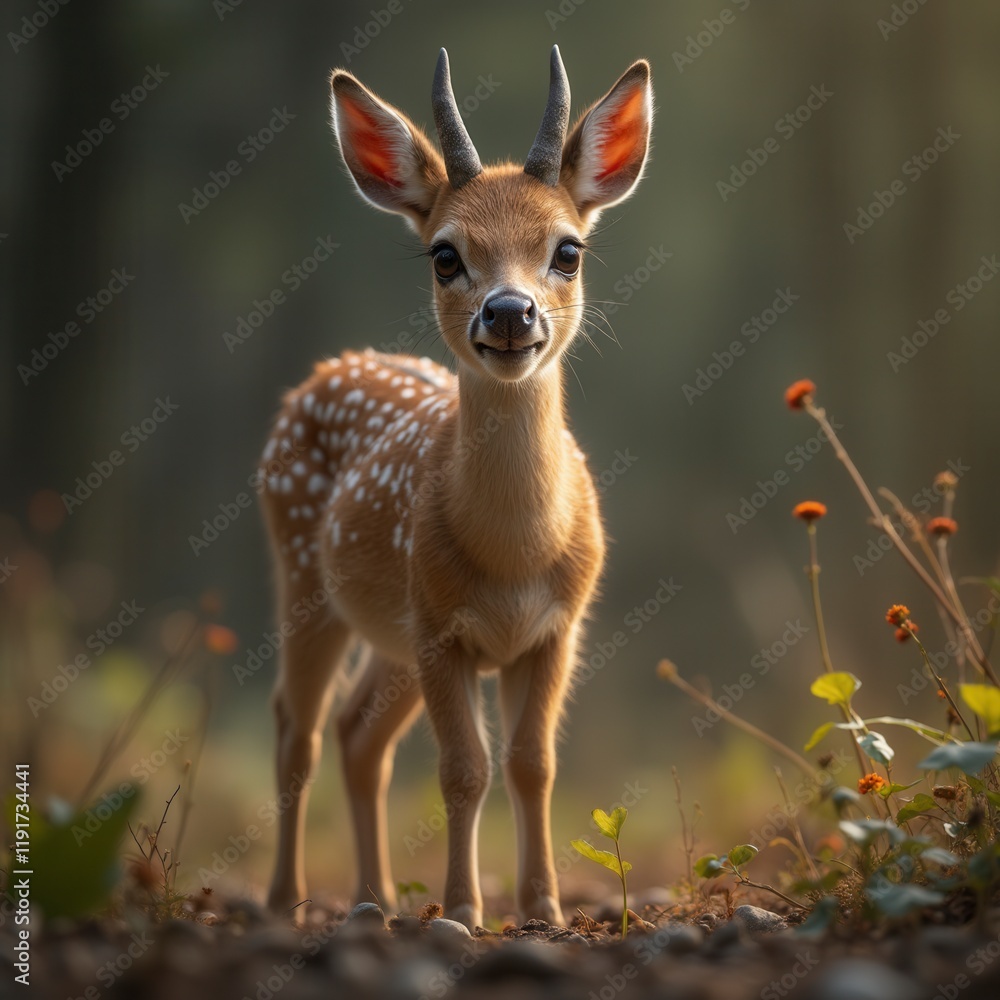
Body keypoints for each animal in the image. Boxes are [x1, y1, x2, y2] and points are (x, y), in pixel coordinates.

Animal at [263, 46, 652, 930]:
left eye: (568, 250)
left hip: (392, 632)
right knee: (297, 728)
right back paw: (284, 901)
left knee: (358, 734)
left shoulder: (555, 628)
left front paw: (542, 907)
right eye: (446, 254)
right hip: (305, 574)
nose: (509, 313)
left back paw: (372, 900)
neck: (513, 557)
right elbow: (463, 769)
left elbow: (532, 763)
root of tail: (321, 373)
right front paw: (465, 909)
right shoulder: (443, 632)